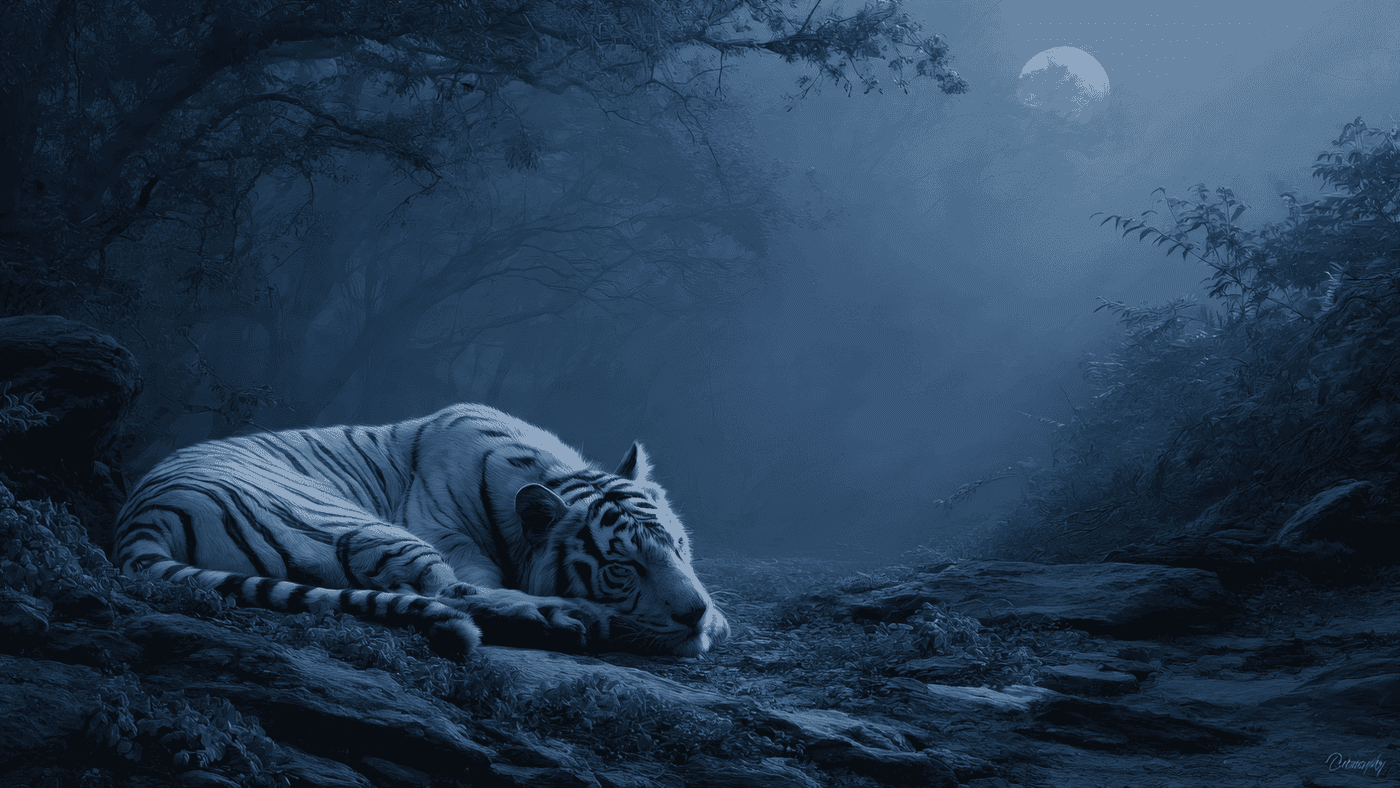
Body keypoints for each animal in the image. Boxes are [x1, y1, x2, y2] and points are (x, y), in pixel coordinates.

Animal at [112, 403, 729, 658]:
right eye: (623, 568)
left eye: (677, 546)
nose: (694, 614)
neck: (549, 472)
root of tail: (142, 518)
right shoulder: (447, 534)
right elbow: (472, 580)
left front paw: (717, 618)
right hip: (358, 523)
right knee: (451, 591)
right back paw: (570, 619)